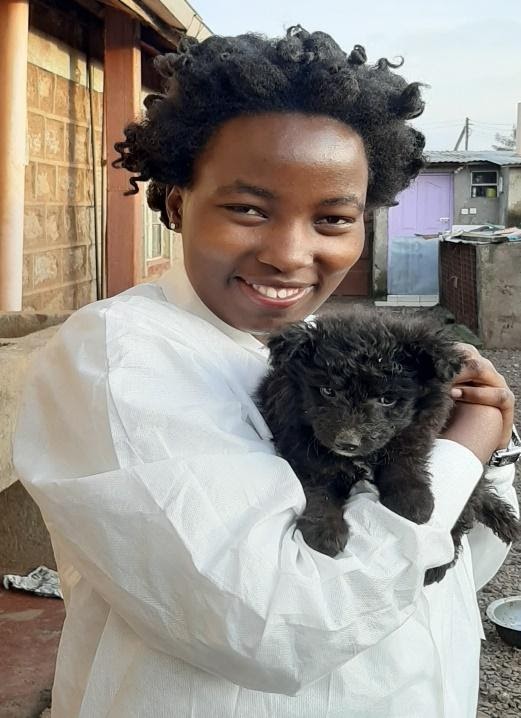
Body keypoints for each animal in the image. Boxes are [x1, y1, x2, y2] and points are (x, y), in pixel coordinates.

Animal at [256, 309, 519, 585]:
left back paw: (438, 566)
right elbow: (319, 481)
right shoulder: (299, 438)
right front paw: (324, 529)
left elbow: (405, 455)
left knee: (466, 513)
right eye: (327, 391)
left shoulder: (419, 426)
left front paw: (412, 500)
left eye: (387, 399)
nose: (347, 443)